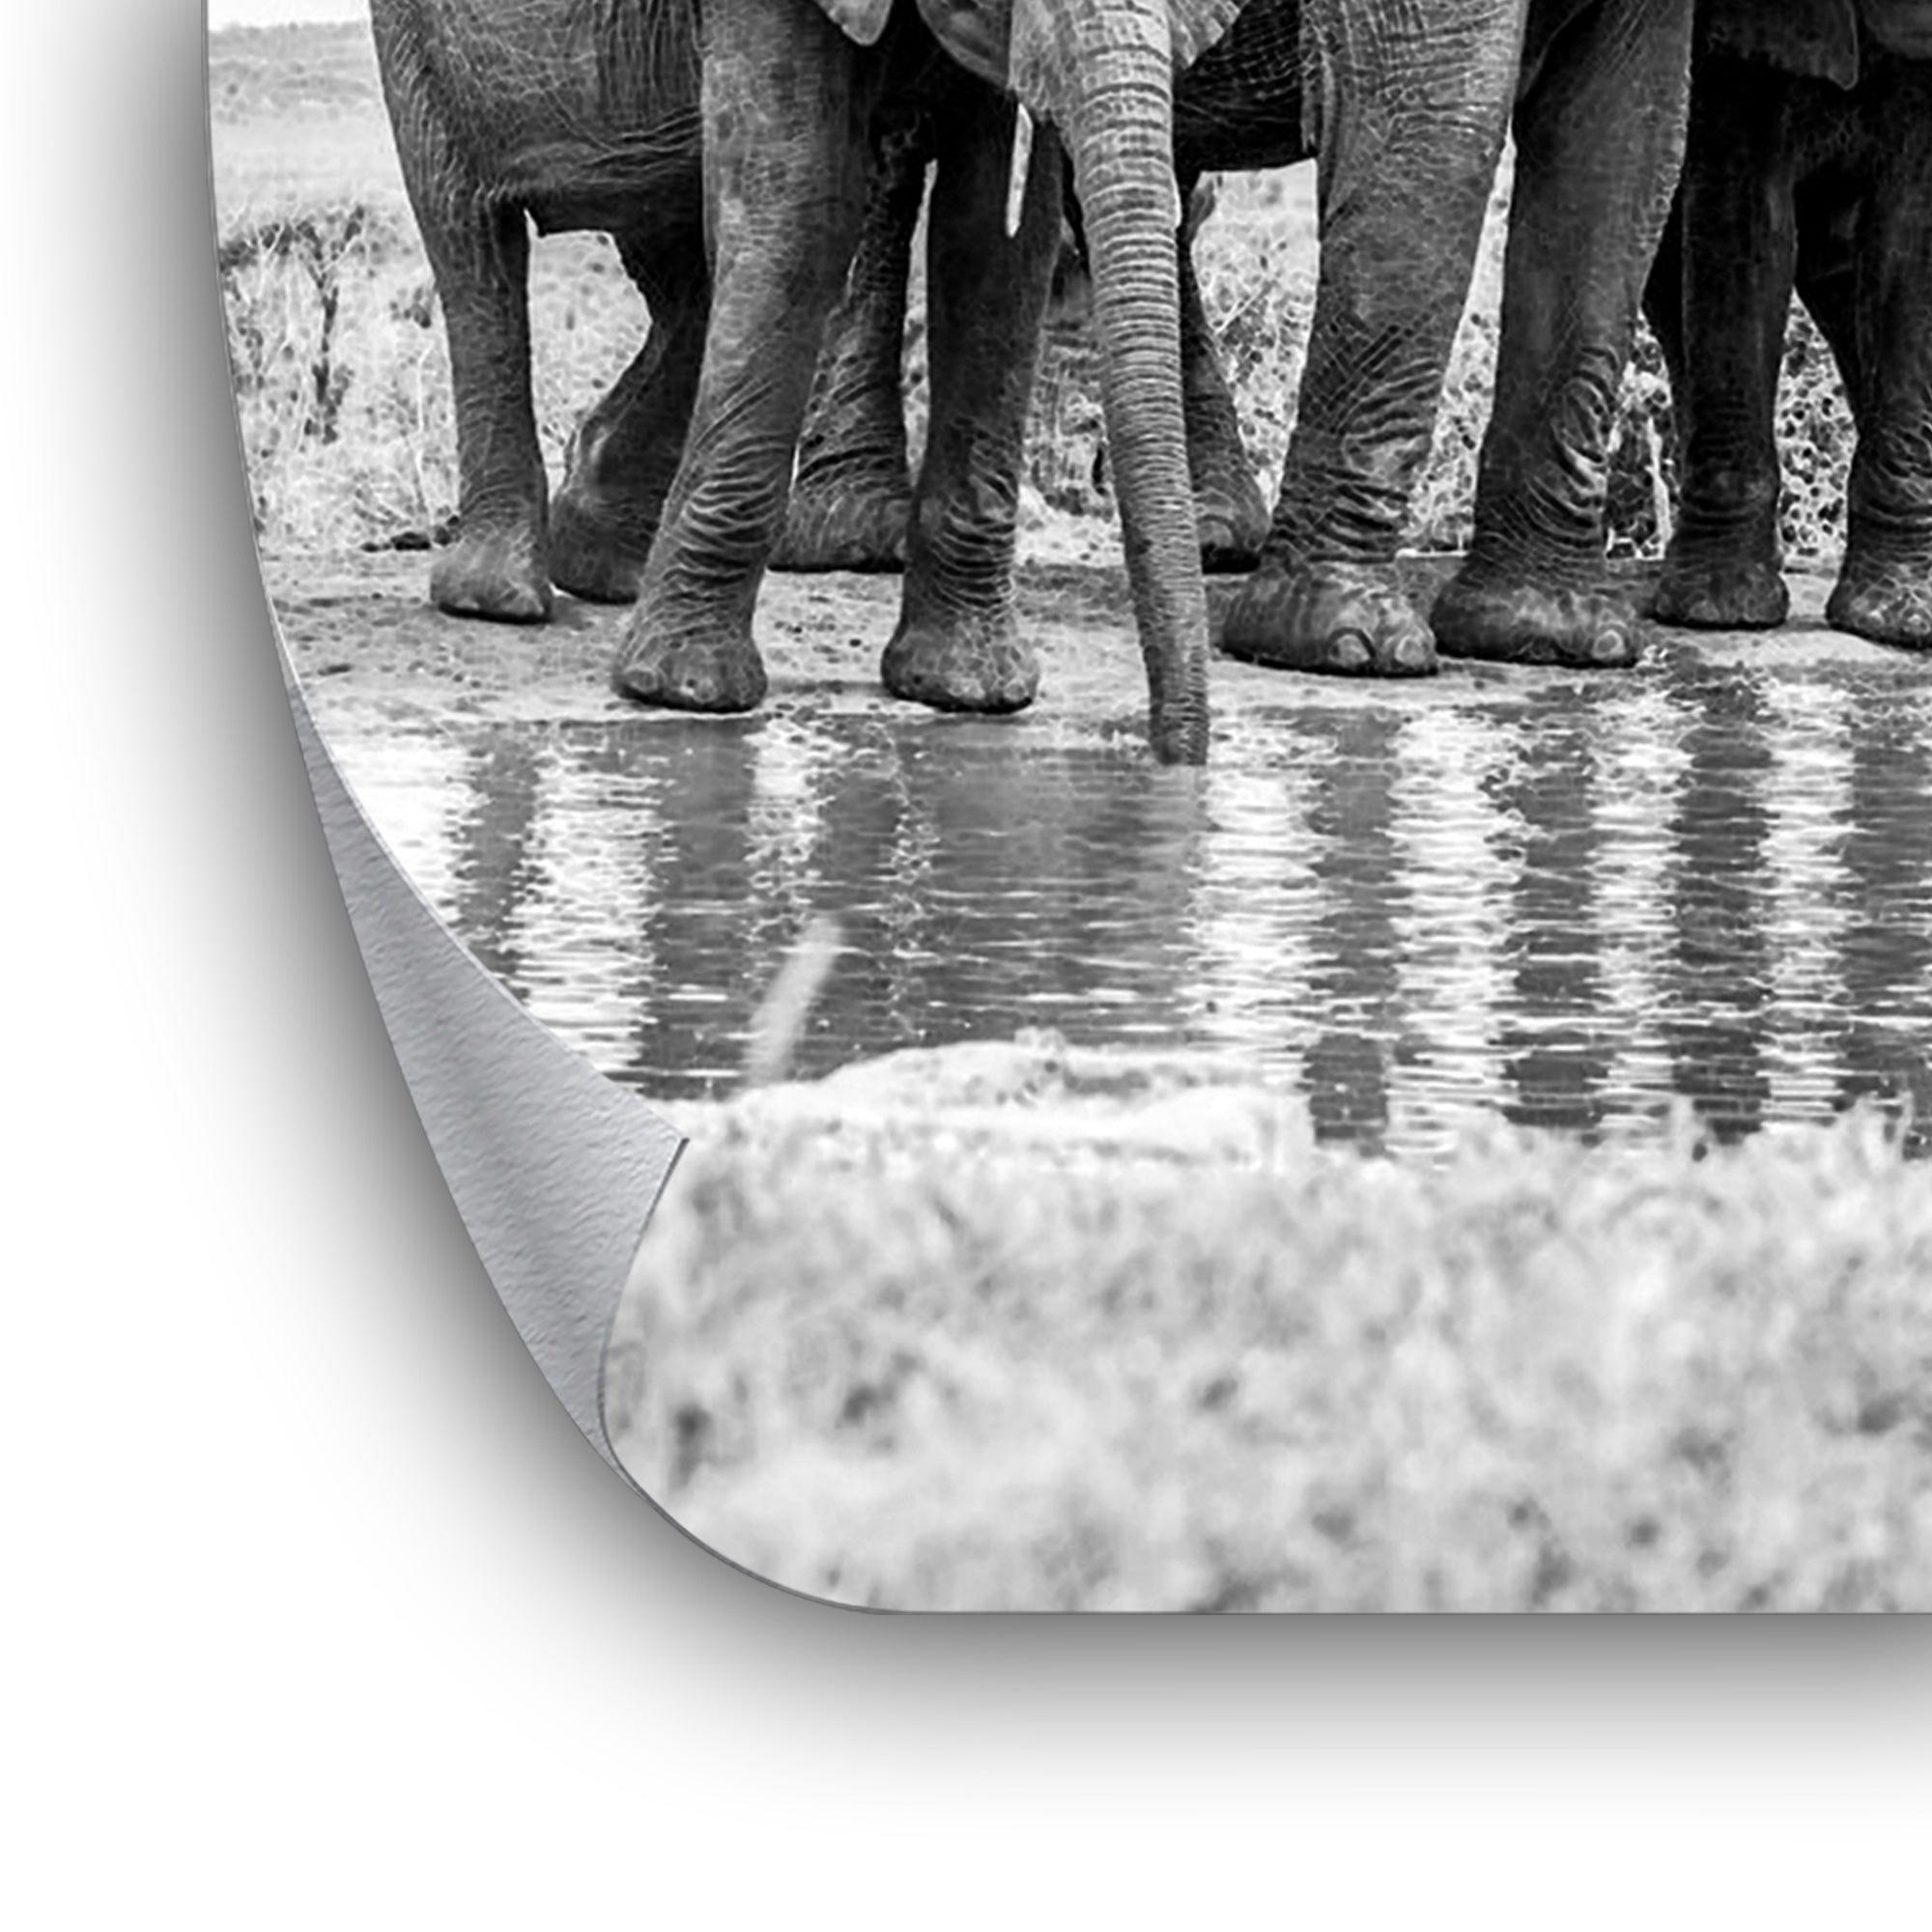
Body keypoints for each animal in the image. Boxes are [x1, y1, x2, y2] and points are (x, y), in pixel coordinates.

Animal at [369, 0, 1250, 768]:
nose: (1173, 762)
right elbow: (802, 215)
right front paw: (684, 691)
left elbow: (993, 252)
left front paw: (968, 693)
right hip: (416, 51)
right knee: (472, 246)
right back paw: (498, 597)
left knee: (682, 265)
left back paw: (600, 566)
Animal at [772, 0, 1700, 678]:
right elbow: (1431, 122)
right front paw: (1348, 647)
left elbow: (1625, 152)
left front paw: (1556, 636)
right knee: (886, 141)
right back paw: (853, 537)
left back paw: (1209, 533)